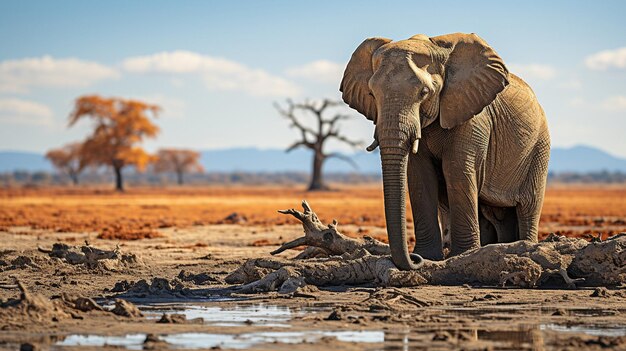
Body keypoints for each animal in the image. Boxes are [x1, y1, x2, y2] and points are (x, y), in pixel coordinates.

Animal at [338, 32, 548, 270]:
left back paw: (525, 246)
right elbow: (420, 177)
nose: (414, 258)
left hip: (539, 147)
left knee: (528, 205)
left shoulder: (473, 116)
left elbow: (457, 172)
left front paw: (462, 255)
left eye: (424, 92)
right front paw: (429, 256)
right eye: (372, 94)